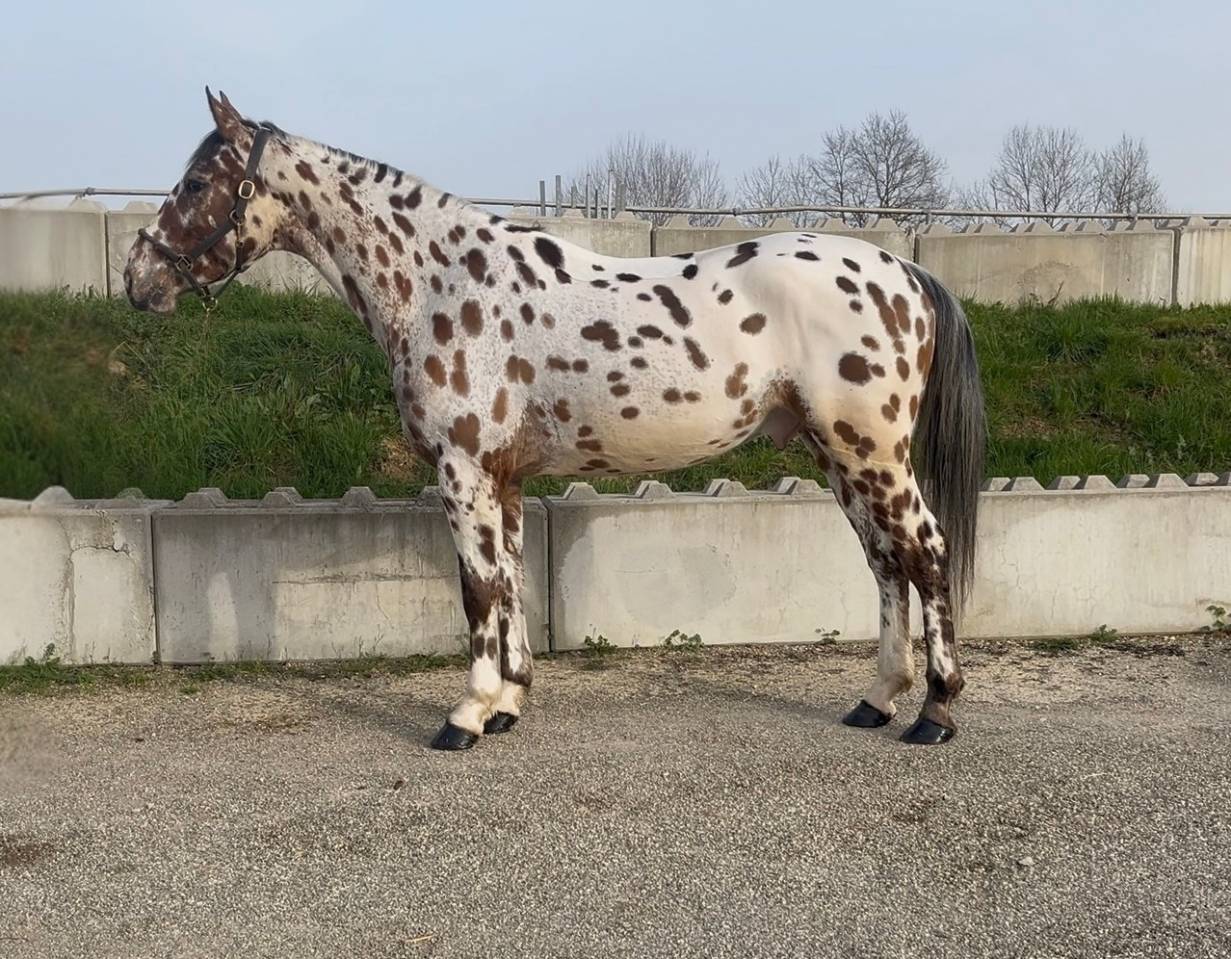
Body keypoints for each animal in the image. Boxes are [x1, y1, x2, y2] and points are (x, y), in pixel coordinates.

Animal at [124, 90, 986, 750]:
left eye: (197, 180)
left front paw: (465, 715)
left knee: (926, 551)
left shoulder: (463, 471)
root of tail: (902, 271)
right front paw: (507, 704)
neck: (440, 283)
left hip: (871, 453)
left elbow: (477, 590)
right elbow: (508, 582)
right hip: (837, 457)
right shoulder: (500, 480)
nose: (138, 278)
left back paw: (934, 711)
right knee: (886, 562)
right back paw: (876, 699)